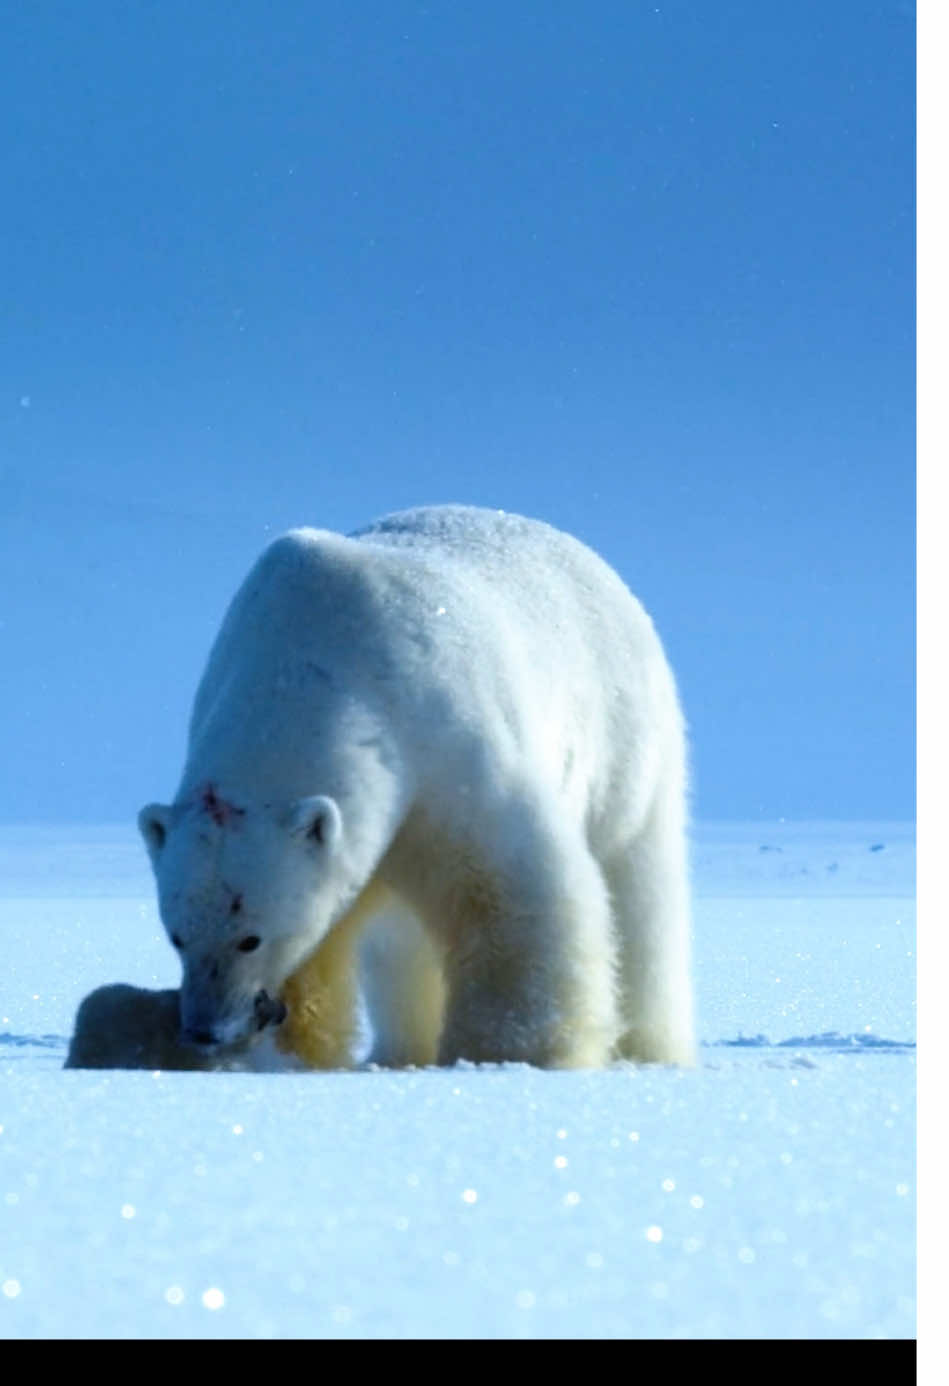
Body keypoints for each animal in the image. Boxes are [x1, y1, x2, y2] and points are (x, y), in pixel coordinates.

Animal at [129, 504, 692, 1064]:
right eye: (176, 936)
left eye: (250, 938)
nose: (204, 1029)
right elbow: (328, 928)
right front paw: (292, 1048)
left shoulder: (447, 744)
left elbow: (513, 892)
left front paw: (509, 1052)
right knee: (400, 943)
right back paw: (400, 1051)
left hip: (626, 740)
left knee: (639, 892)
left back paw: (648, 1046)